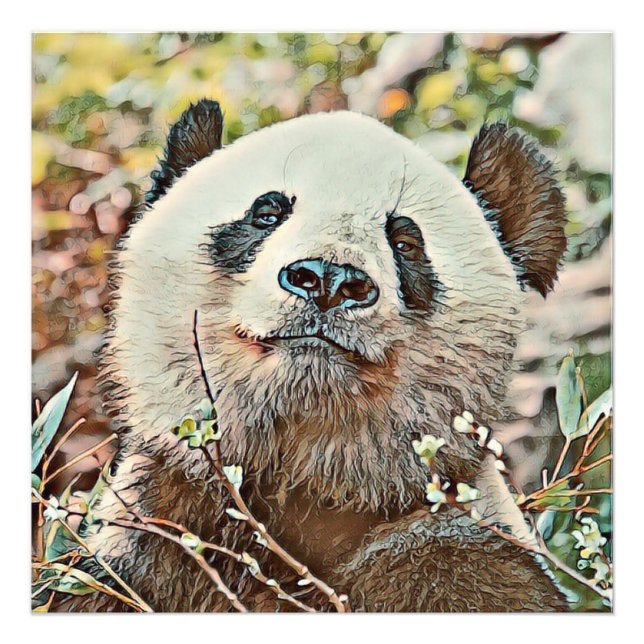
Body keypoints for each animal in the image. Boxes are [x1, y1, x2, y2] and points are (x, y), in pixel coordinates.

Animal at [59, 99, 569, 612]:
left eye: (406, 243)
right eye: (267, 214)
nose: (328, 279)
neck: (309, 483)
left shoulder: (456, 543)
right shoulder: (158, 531)